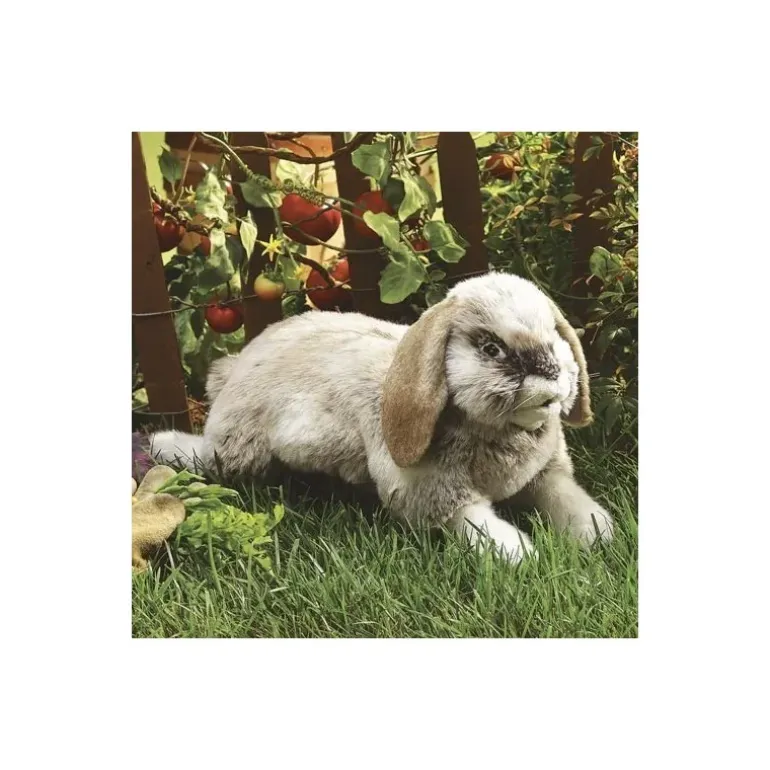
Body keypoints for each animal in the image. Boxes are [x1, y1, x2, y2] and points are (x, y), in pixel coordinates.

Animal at [150, 272, 613, 563]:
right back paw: (160, 443)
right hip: (237, 448)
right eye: (491, 348)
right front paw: (518, 555)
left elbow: (567, 499)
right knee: (203, 456)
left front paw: (598, 534)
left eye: (554, 336)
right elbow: (476, 522)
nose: (551, 377)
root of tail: (239, 363)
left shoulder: (546, 475)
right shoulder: (435, 494)